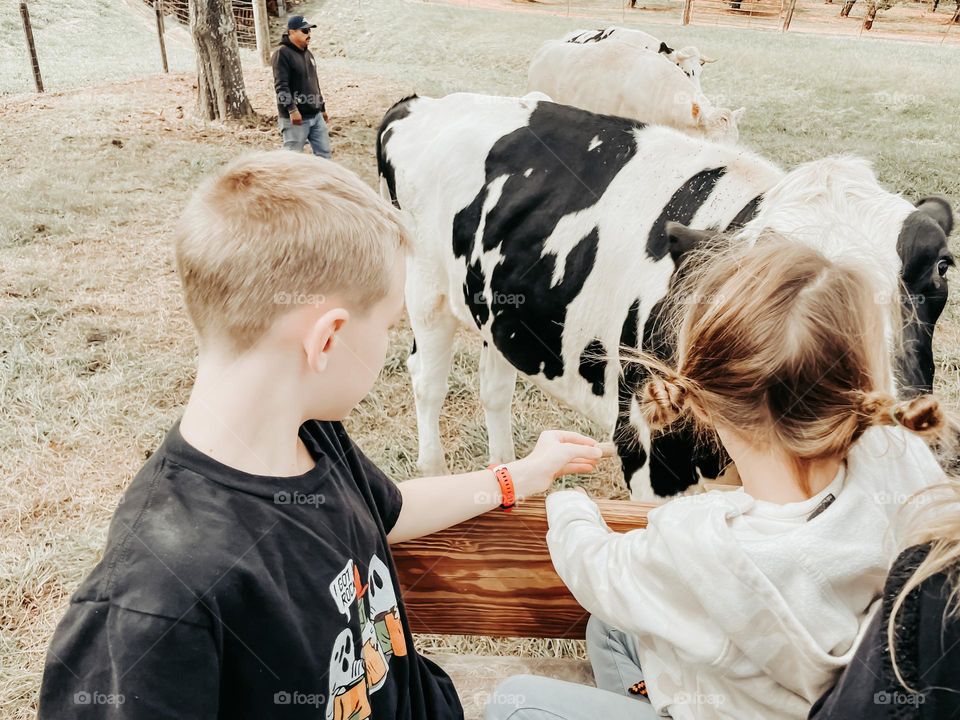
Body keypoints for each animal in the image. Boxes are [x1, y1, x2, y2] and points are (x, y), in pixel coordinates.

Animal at [376, 91, 952, 500]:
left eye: (941, 269)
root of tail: (421, 103)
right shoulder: (649, 454)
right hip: (426, 291)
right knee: (427, 380)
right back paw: (436, 475)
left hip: (498, 306)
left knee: (494, 385)